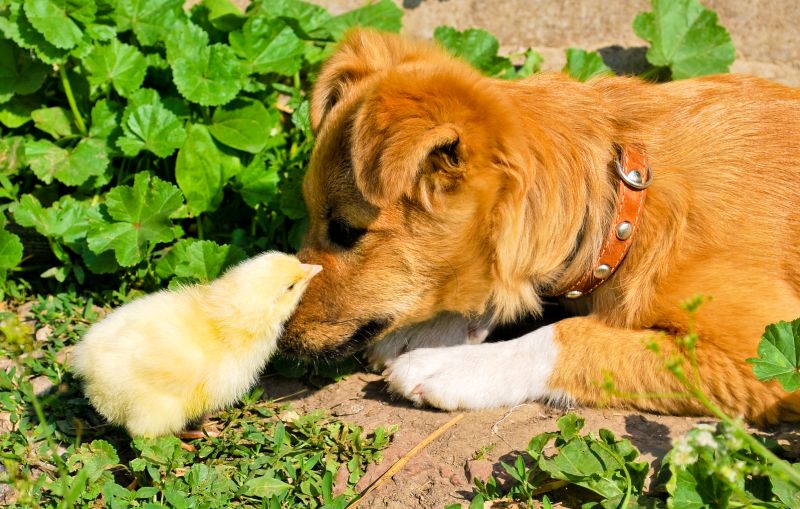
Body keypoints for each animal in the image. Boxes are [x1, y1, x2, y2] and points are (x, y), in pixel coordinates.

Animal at [280, 29, 800, 422]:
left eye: (346, 230)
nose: (280, 339)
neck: (627, 206)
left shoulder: (763, 353)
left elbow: (569, 336)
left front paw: (451, 366)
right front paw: (432, 329)